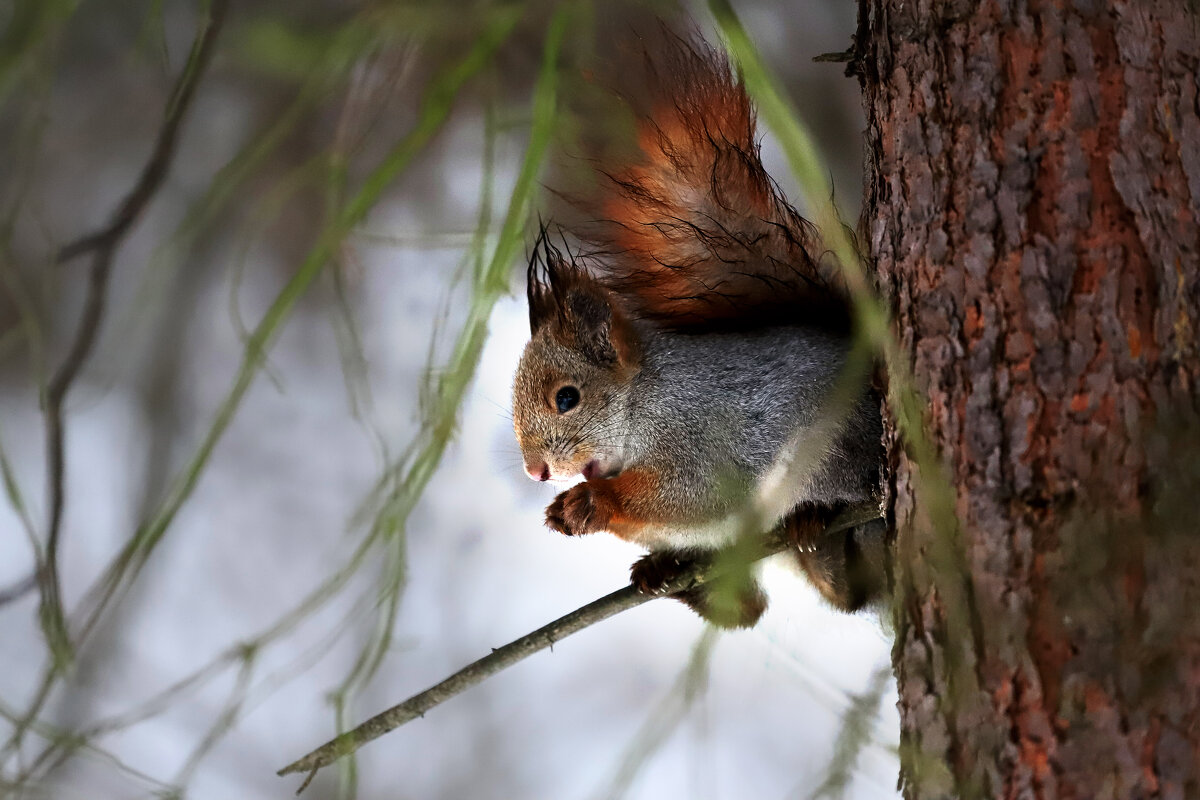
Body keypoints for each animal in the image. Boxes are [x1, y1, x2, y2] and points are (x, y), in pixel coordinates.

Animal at [511, 34, 888, 628]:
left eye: (567, 398)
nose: (536, 472)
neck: (644, 402)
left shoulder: (703, 433)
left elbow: (693, 495)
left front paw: (593, 503)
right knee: (759, 606)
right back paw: (671, 575)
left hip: (834, 452)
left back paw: (814, 520)